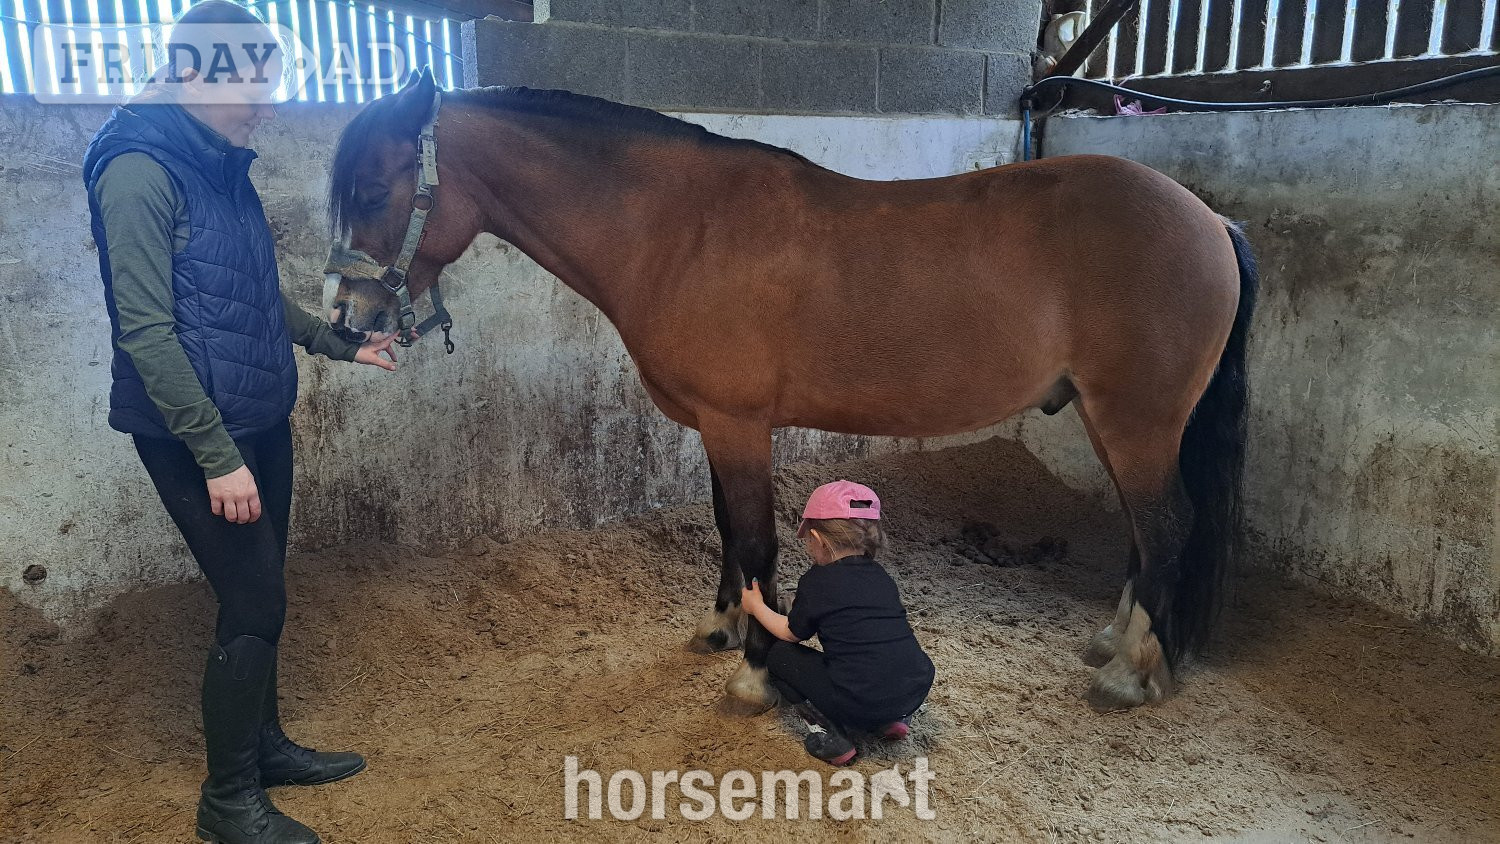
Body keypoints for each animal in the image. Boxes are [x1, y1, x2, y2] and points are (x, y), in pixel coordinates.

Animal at [322, 68, 1258, 713]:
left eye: (372, 188)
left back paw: (1131, 675)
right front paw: (722, 629)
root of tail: (1208, 219)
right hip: (1111, 421)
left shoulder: (739, 424)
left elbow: (758, 541)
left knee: (1168, 527)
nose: (346, 318)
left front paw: (755, 676)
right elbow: (727, 533)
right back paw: (1110, 642)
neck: (681, 230)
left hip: (1136, 421)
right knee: (1143, 531)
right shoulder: (712, 424)